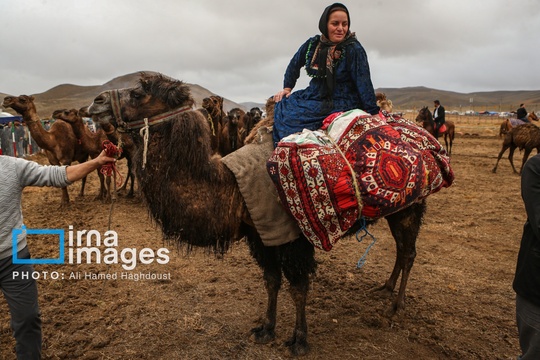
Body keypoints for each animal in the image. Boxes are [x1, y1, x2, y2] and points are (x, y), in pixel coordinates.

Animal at [87, 71, 426, 356]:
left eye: (139, 93)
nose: (95, 102)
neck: (233, 186)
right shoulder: (261, 233)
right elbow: (272, 281)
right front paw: (266, 328)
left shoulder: (291, 236)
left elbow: (298, 288)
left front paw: (299, 340)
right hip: (398, 209)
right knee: (400, 248)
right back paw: (386, 287)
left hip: (412, 204)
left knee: (409, 251)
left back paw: (396, 305)